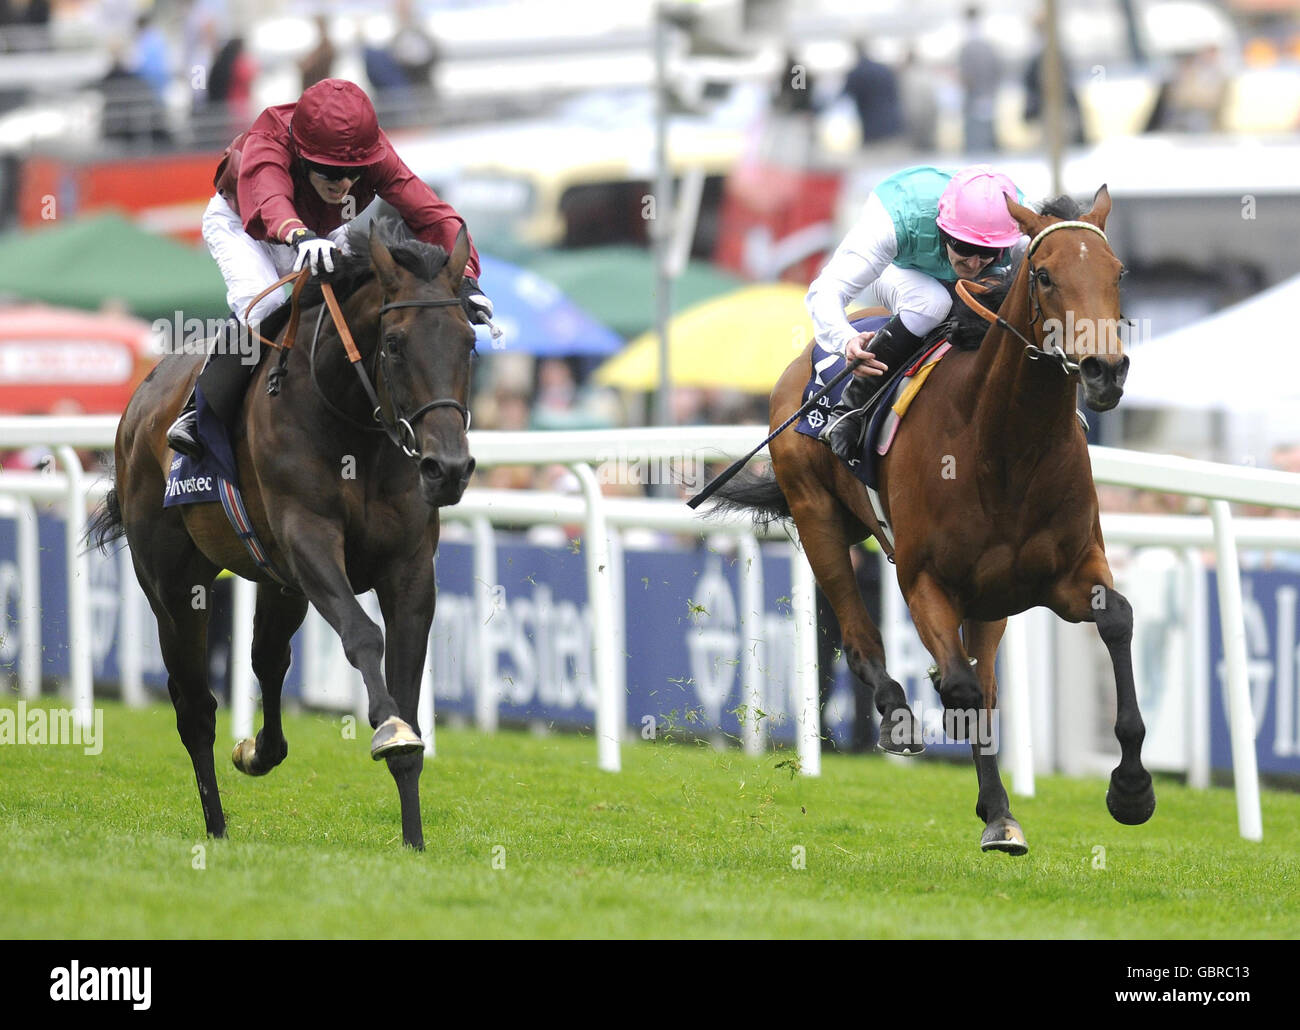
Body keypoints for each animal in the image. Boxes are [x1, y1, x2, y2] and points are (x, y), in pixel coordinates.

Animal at [90, 219, 478, 853]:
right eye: (395, 344)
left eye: (468, 340)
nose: (447, 469)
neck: (355, 427)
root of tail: (140, 403)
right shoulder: (309, 539)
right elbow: (363, 636)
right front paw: (388, 730)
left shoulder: (409, 566)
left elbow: (405, 687)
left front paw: (415, 841)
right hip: (174, 588)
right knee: (194, 707)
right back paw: (217, 827)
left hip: (279, 583)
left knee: (267, 659)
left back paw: (259, 751)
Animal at [712, 191, 1159, 853]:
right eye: (1045, 275)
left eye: (1119, 273)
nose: (1105, 369)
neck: (1004, 446)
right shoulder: (925, 581)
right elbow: (961, 686)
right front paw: (997, 805)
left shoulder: (1067, 573)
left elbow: (1117, 621)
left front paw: (1131, 789)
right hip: (818, 516)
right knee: (861, 635)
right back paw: (899, 715)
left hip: (990, 599)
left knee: (988, 682)